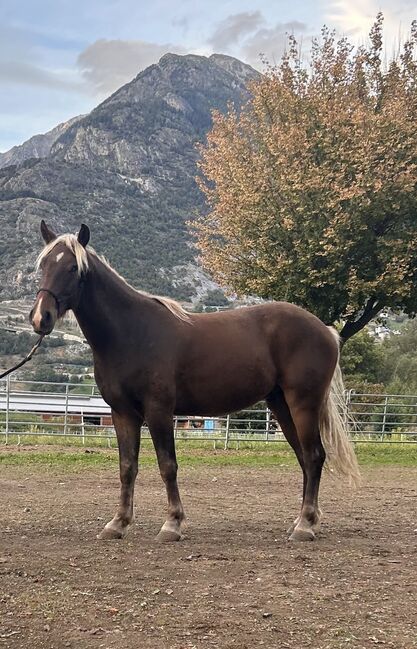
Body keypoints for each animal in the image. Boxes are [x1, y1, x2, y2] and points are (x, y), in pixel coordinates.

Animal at [30, 221, 360, 540]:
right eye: (43, 264)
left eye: (74, 268)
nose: (40, 318)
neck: (131, 332)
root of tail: (326, 330)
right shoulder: (122, 413)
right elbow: (127, 467)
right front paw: (118, 523)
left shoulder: (159, 411)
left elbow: (167, 466)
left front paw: (172, 524)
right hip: (282, 406)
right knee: (304, 457)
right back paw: (304, 522)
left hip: (303, 403)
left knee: (314, 456)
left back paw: (305, 526)